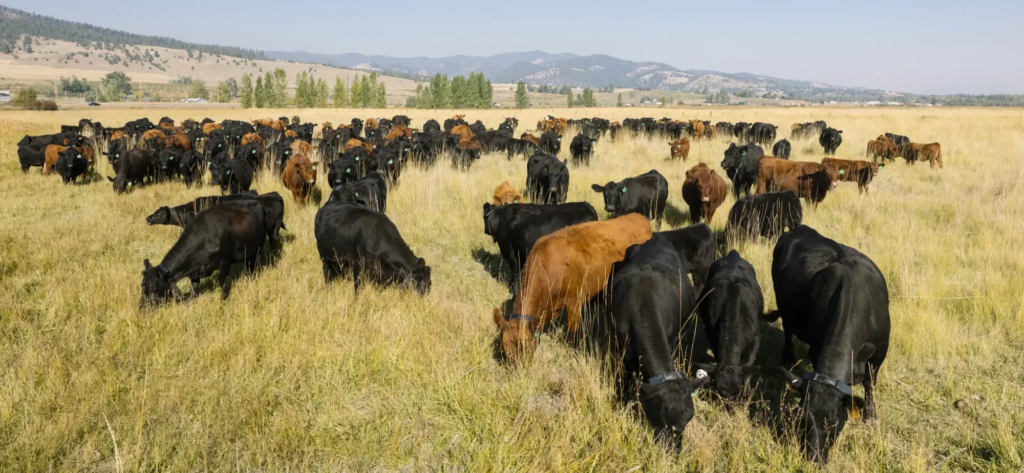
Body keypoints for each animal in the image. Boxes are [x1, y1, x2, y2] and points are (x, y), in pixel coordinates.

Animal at [140, 200, 271, 305]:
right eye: (142, 287)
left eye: (154, 289)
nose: (141, 307)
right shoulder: (194, 272)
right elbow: (195, 290)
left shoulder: (225, 261)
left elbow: (223, 284)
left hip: (257, 248)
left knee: (252, 266)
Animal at [491, 213, 652, 364]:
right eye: (505, 350)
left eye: (523, 347)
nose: (519, 371)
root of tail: (638, 216)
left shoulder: (574, 302)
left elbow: (573, 332)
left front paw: (574, 352)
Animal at [603, 233, 707, 449]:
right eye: (663, 417)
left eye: (689, 419)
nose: (674, 450)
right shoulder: (622, 348)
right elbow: (624, 378)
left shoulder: (672, 339)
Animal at [693, 250, 763, 403]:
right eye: (719, 391)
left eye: (737, 393)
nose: (729, 404)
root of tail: (733, 255)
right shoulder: (712, 335)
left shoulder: (755, 337)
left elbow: (749, 364)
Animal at [767, 225, 890, 463]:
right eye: (802, 418)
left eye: (833, 422)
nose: (813, 458)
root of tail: (801, 228)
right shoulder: (816, 348)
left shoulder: (880, 352)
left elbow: (870, 383)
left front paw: (871, 417)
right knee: (787, 328)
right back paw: (788, 356)